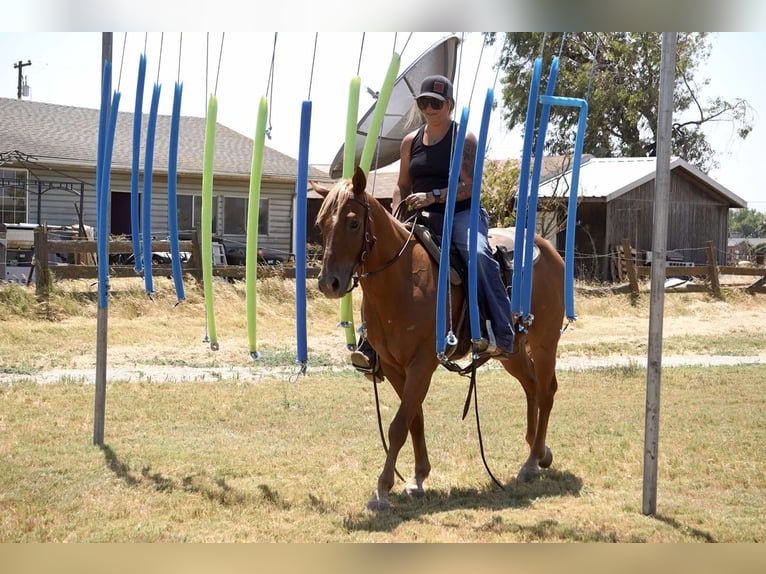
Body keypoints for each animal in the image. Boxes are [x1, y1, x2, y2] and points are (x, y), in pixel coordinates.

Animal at [311, 166, 565, 511]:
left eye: (353, 222)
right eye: (320, 223)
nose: (329, 283)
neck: (401, 280)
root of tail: (548, 249)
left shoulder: (422, 364)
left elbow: (398, 426)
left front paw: (382, 489)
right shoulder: (394, 366)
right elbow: (413, 419)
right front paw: (418, 478)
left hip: (545, 343)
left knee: (546, 391)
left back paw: (532, 461)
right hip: (511, 352)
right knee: (531, 387)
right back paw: (537, 454)